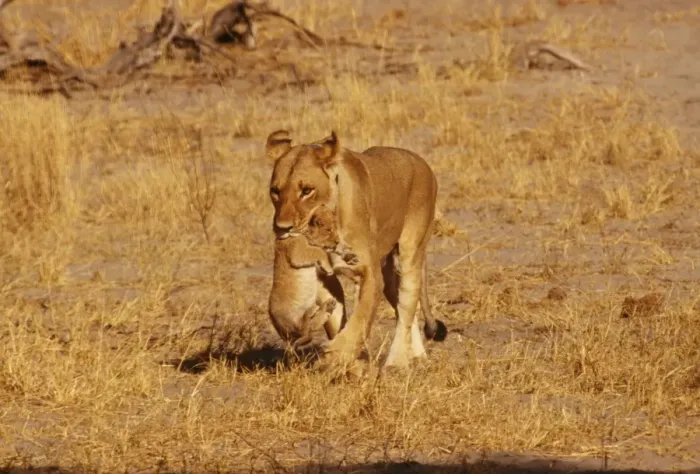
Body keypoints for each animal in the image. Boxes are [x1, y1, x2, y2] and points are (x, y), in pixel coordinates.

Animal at [266, 129, 447, 370]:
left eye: (306, 191)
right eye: (275, 191)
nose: (282, 228)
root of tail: (422, 162)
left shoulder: (369, 273)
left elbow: (360, 318)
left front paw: (336, 355)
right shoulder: (325, 277)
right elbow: (338, 320)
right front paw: (350, 362)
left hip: (411, 252)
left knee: (408, 305)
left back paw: (397, 362)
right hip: (390, 274)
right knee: (405, 307)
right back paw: (417, 355)